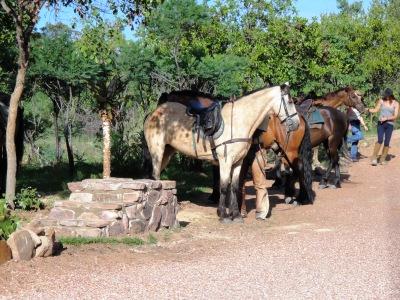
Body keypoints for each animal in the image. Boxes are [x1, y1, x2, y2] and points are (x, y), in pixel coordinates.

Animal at [144, 84, 300, 223]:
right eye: (290, 101)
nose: (296, 124)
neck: (237, 121)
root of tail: (154, 114)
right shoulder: (225, 161)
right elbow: (224, 187)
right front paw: (224, 216)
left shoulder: (238, 163)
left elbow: (234, 187)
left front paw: (236, 216)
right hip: (158, 151)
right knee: (156, 178)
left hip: (167, 152)